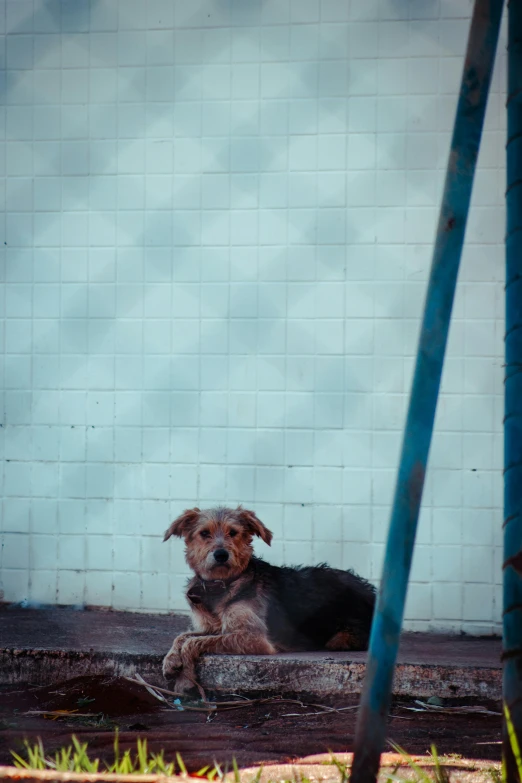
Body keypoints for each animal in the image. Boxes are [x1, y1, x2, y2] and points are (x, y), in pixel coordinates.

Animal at [161, 508, 374, 700]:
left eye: (233, 532)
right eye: (204, 533)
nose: (221, 555)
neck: (222, 584)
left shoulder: (254, 638)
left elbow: (192, 642)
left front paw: (185, 679)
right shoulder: (211, 627)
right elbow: (183, 636)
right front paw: (171, 660)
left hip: (341, 636)